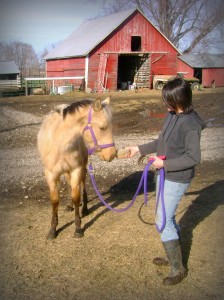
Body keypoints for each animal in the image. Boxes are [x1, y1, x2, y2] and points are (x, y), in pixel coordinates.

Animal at [37, 97, 115, 240]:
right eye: (102, 127)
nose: (112, 154)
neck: (60, 141)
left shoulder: (76, 170)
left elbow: (76, 196)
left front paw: (78, 228)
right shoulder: (51, 174)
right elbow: (55, 201)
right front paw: (53, 229)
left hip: (82, 168)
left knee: (82, 185)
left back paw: (84, 208)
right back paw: (69, 206)